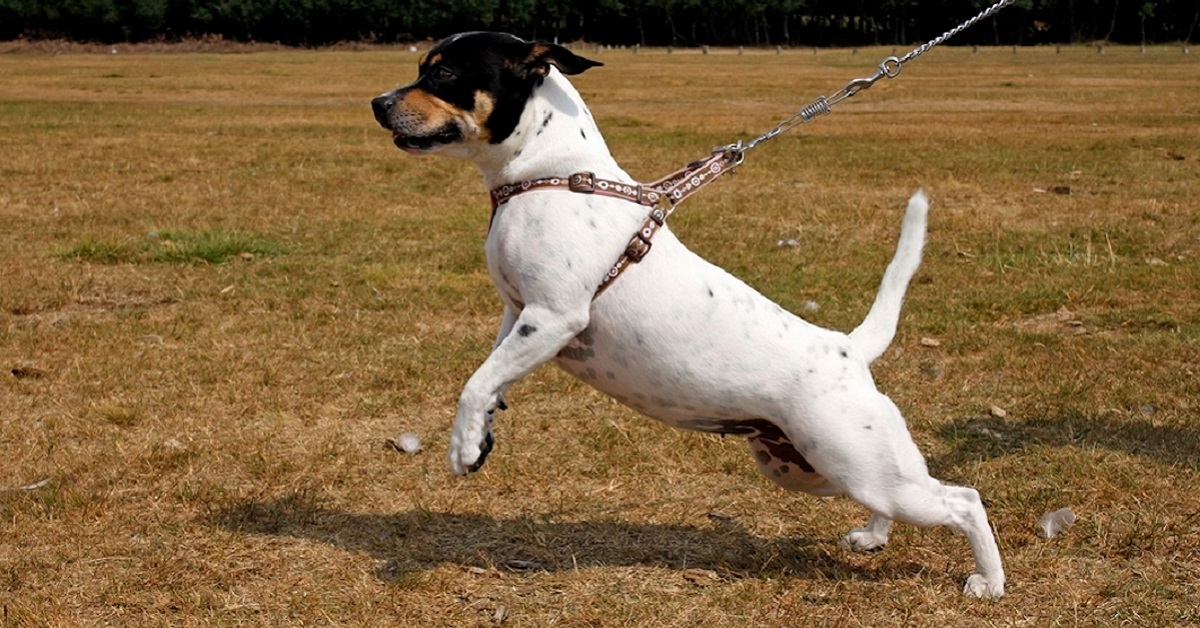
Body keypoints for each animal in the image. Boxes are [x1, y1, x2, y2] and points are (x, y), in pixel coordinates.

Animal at [369, 30, 1008, 600]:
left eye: (444, 74)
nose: (377, 103)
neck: (550, 174)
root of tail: (848, 347)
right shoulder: (517, 313)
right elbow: (492, 374)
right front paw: (483, 435)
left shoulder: (554, 316)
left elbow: (474, 383)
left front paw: (461, 447)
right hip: (820, 468)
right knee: (900, 497)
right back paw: (873, 537)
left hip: (855, 460)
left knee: (963, 500)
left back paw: (989, 583)